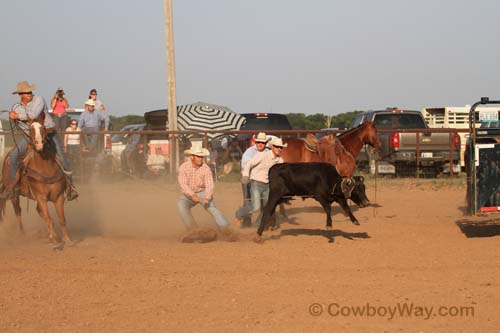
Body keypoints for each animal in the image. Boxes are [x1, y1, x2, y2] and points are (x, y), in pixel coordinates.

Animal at [0, 111, 73, 244]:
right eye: (30, 129)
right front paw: (55, 240)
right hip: (13, 195)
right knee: (18, 211)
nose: (39, 144)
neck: (46, 169)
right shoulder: (40, 197)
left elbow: (61, 219)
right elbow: (49, 218)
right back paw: (22, 233)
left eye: (43, 128)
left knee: (38, 212)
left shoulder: (59, 196)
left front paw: (67, 239)